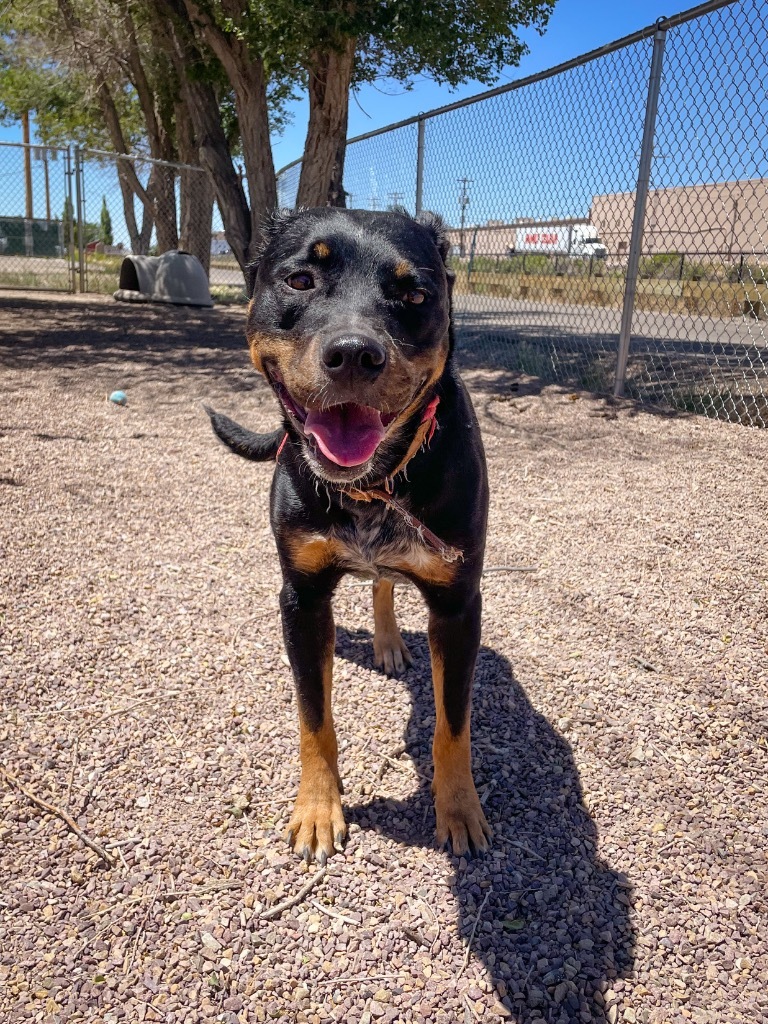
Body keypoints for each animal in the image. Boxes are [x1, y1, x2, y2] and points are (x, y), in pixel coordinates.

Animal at [205, 207, 493, 864]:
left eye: (414, 295)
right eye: (301, 279)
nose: (355, 353)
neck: (371, 486)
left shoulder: (458, 605)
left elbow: (454, 723)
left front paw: (459, 810)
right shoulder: (302, 598)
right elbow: (314, 715)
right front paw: (317, 809)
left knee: (384, 583)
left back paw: (387, 642)